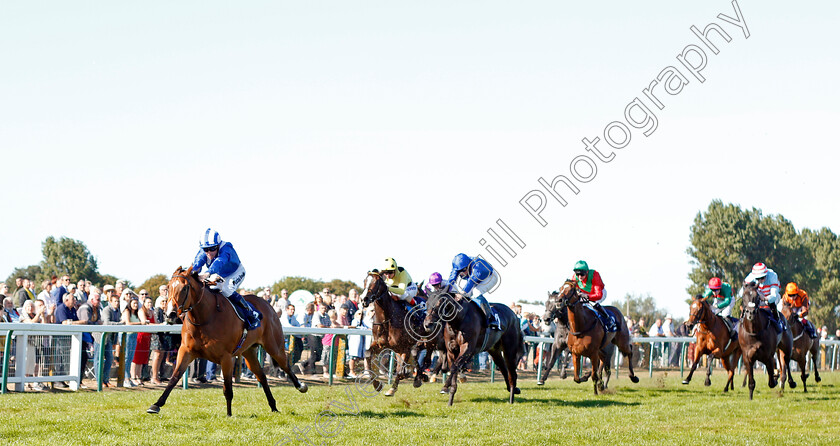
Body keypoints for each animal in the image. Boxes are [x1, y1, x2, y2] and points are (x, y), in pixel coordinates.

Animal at [148, 264, 308, 414]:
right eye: (168, 287)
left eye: (185, 288)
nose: (170, 314)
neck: (205, 317)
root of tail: (267, 305)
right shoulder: (186, 351)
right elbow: (174, 378)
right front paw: (156, 405)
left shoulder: (226, 357)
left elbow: (228, 388)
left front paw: (229, 415)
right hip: (249, 351)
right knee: (261, 375)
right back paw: (273, 406)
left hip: (274, 345)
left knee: (285, 365)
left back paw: (301, 386)